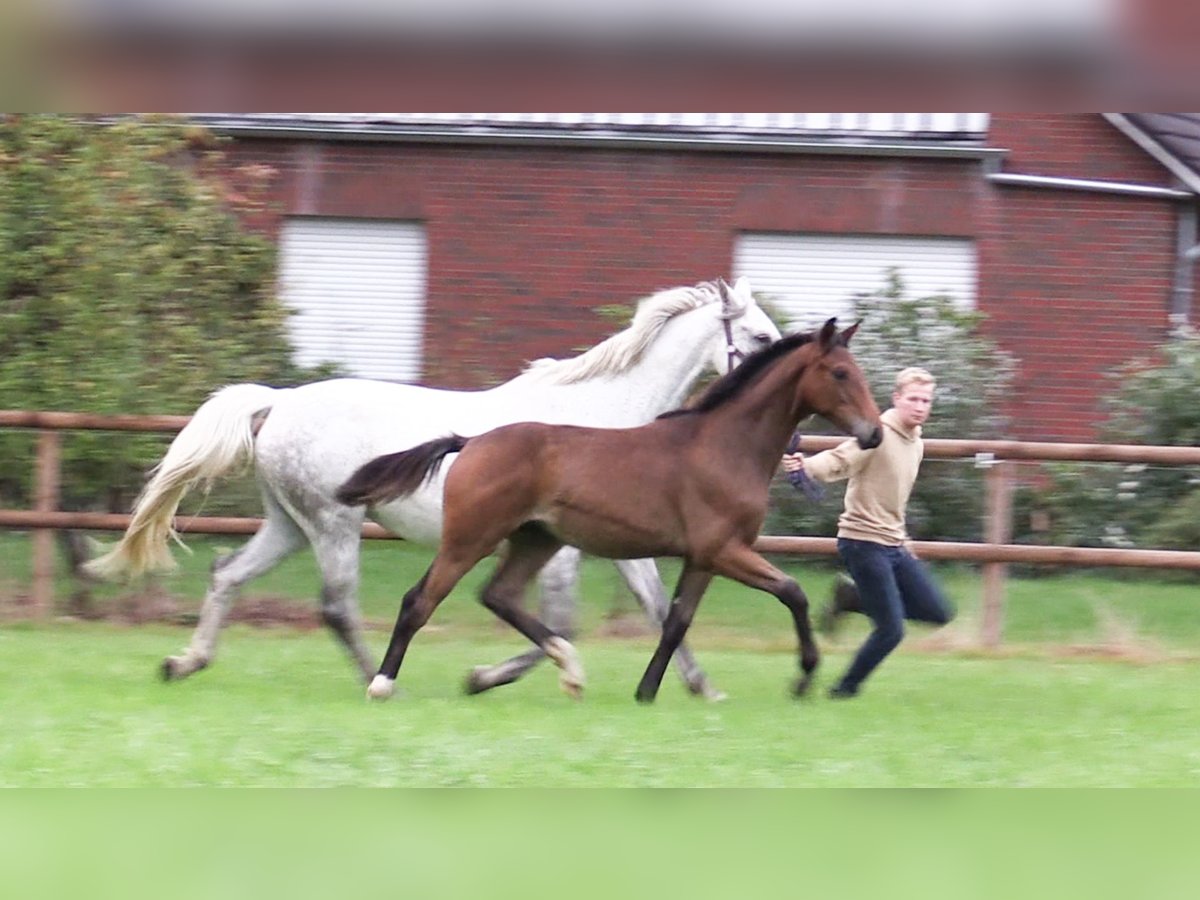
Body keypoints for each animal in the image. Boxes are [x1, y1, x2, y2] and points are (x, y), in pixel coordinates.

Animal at [84, 278, 780, 699]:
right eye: (762, 337)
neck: (603, 416)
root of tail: (278, 403)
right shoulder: (564, 551)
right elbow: (561, 623)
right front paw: (486, 676)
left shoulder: (623, 547)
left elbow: (659, 609)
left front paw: (702, 687)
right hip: (334, 526)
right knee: (336, 604)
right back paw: (378, 679)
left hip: (288, 525)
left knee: (228, 575)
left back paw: (184, 662)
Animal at [336, 318, 882, 703]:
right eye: (839, 373)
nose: (873, 434)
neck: (724, 445)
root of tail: (470, 442)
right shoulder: (724, 550)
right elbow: (792, 593)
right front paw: (804, 677)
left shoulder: (703, 558)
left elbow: (675, 621)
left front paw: (648, 692)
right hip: (469, 538)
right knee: (420, 601)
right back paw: (382, 684)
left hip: (536, 539)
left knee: (499, 595)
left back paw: (567, 670)